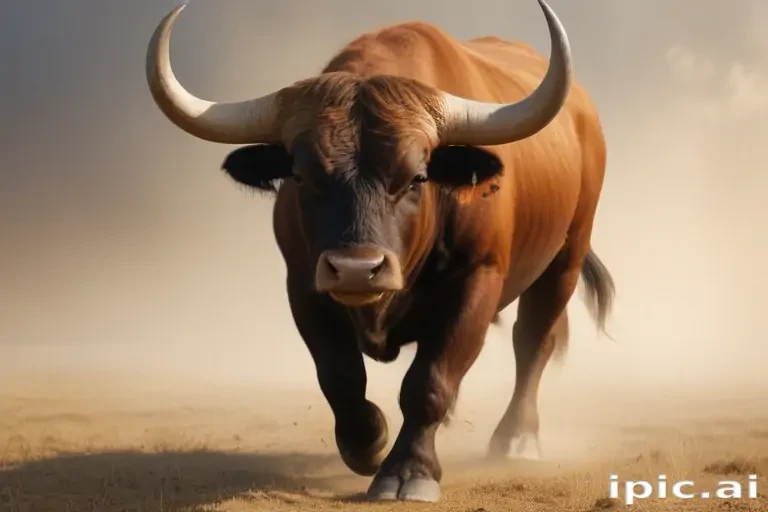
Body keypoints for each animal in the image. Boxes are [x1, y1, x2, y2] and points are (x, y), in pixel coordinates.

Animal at [144, 0, 615, 503]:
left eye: (416, 178)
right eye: (303, 177)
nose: (356, 270)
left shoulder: (477, 279)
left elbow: (429, 381)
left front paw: (410, 470)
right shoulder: (304, 284)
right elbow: (339, 375)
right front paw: (368, 441)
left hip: (565, 258)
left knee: (532, 341)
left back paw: (517, 439)